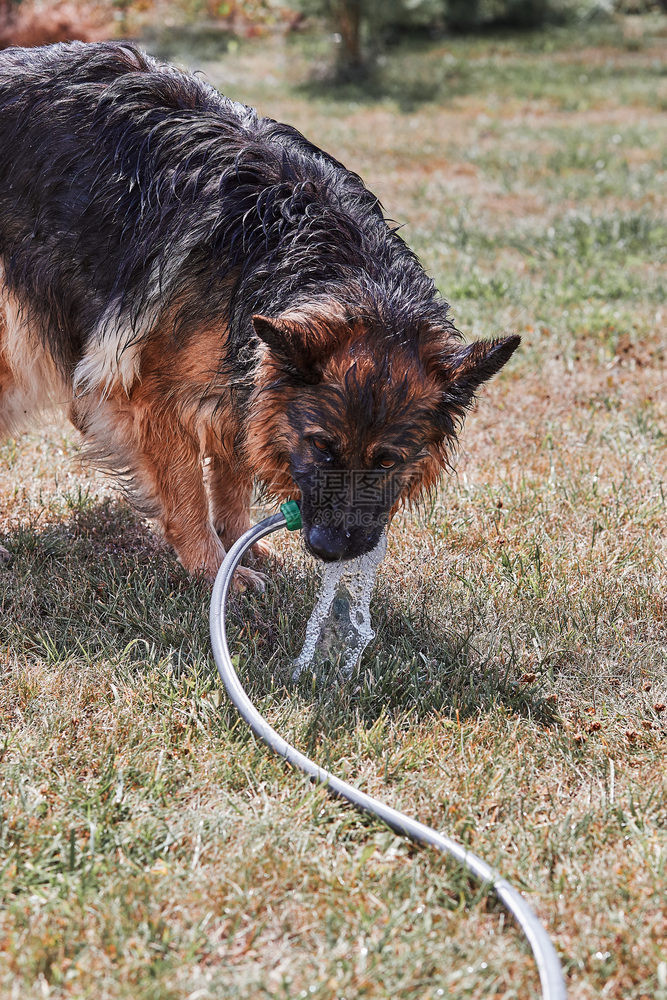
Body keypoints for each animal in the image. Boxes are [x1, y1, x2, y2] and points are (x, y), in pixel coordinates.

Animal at [0, 41, 520, 584]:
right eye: (321, 446)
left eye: (385, 462)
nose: (330, 549)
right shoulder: (149, 394)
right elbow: (187, 492)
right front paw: (211, 569)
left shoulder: (246, 378)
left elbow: (232, 479)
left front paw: (240, 548)